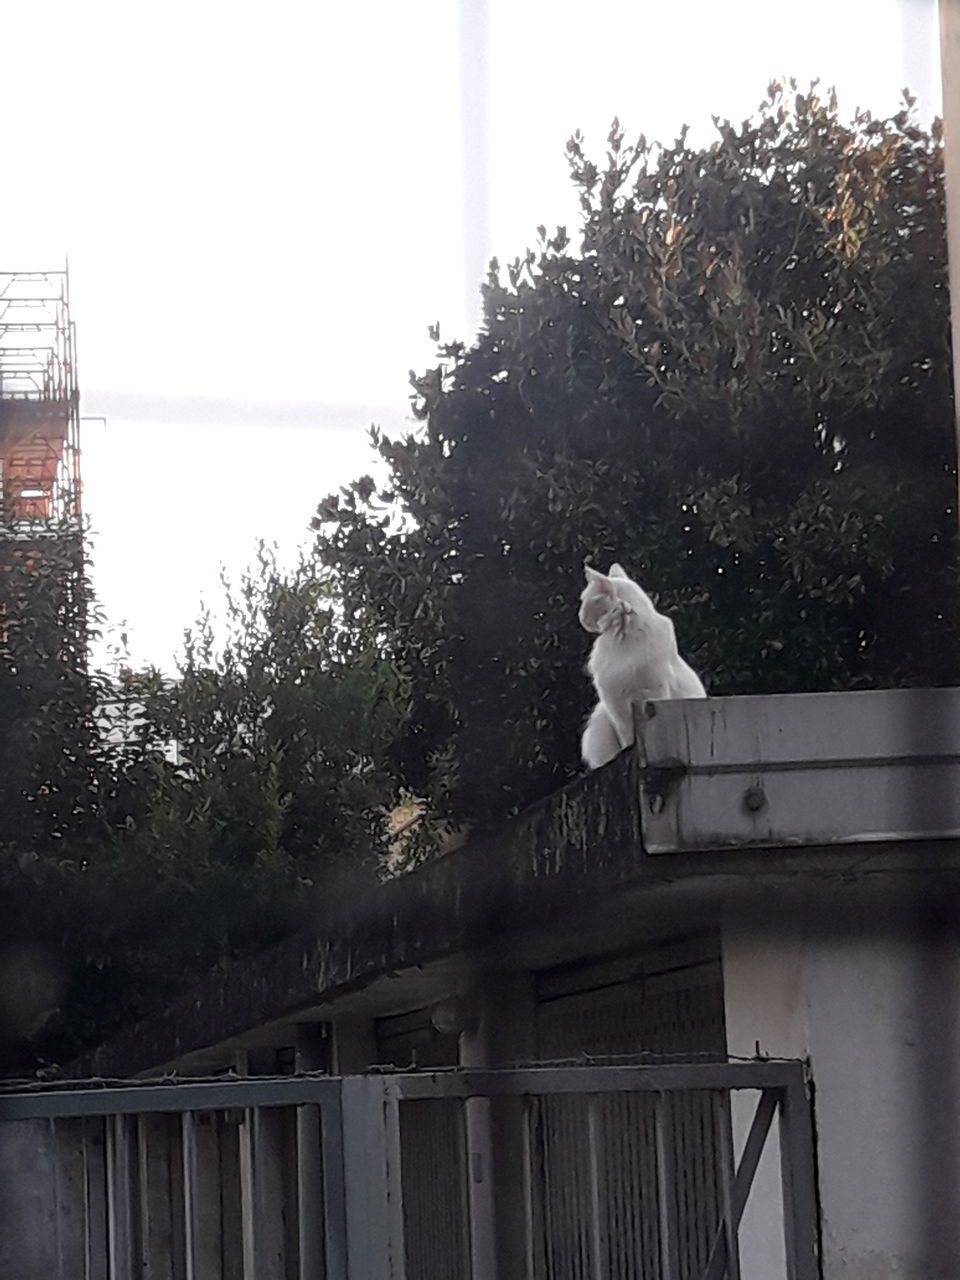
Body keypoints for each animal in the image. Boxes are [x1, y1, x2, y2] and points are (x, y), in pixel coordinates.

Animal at [578, 563, 706, 768]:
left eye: (588, 601)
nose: (581, 619)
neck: (624, 638)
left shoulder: (652, 693)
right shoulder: (615, 704)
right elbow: (626, 739)